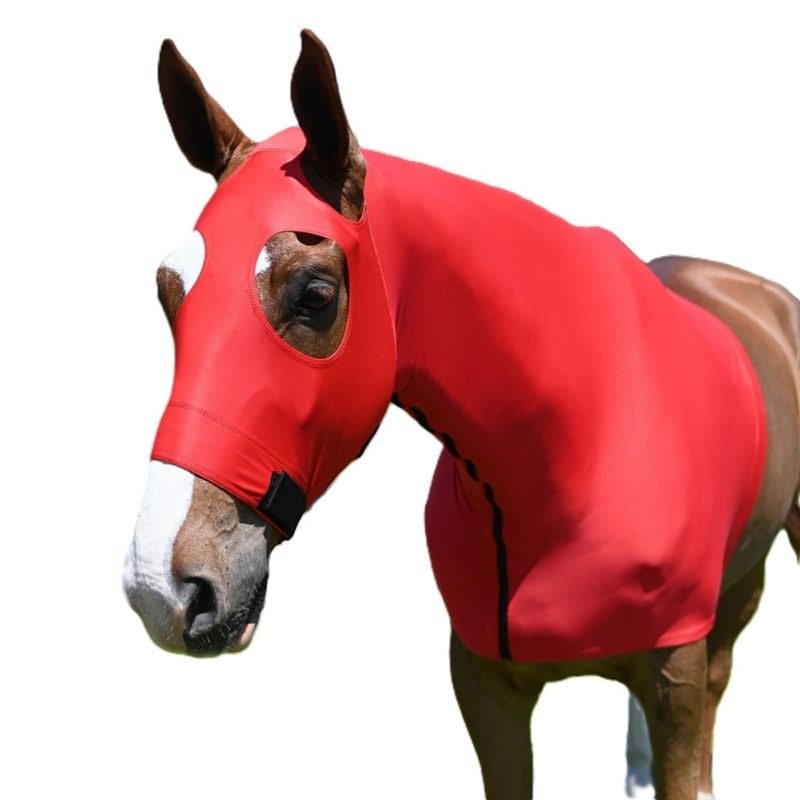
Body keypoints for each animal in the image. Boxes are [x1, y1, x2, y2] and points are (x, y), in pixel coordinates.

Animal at [123, 30, 800, 800]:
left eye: (316, 294)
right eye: (168, 293)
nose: (162, 585)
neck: (578, 448)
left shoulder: (676, 679)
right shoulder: (484, 687)